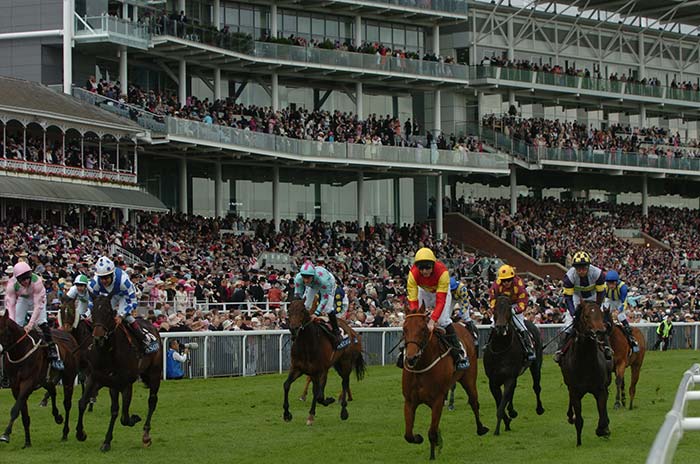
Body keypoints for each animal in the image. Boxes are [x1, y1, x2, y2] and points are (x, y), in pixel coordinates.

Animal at [0, 308, 79, 446]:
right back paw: (57, 416)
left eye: (2, 330)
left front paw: (6, 434)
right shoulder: (15, 386)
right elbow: (23, 413)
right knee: (52, 390)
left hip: (69, 378)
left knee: (67, 404)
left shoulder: (27, 383)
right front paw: (27, 442)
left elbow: (15, 409)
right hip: (46, 380)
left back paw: (65, 433)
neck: (20, 351)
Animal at [74, 296, 162, 452]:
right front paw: (82, 433)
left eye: (109, 312)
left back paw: (146, 435)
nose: (98, 338)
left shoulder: (125, 383)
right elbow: (84, 403)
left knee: (152, 401)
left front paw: (134, 419)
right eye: (93, 312)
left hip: (155, 374)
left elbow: (124, 417)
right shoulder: (98, 378)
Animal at [402, 308, 490, 460]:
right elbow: (408, 435)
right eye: (404, 328)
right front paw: (418, 437)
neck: (421, 367)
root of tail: (461, 325)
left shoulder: (438, 399)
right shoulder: (409, 401)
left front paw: (432, 455)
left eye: (423, 329)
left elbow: (432, 432)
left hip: (469, 378)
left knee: (474, 402)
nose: (411, 358)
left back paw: (480, 428)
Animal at [484, 296, 544, 434]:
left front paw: (498, 429)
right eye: (494, 309)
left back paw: (539, 409)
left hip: (536, 365)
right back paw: (511, 411)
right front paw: (507, 420)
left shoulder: (509, 377)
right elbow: (500, 402)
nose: (500, 327)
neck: (501, 348)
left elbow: (502, 404)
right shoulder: (493, 381)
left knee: (536, 387)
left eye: (508, 310)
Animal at [556, 300, 612, 446]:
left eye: (600, 314)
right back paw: (570, 416)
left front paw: (603, 429)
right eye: (586, 316)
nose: (600, 331)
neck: (585, 363)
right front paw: (579, 442)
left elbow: (602, 414)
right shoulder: (575, 390)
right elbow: (579, 419)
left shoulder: (600, 389)